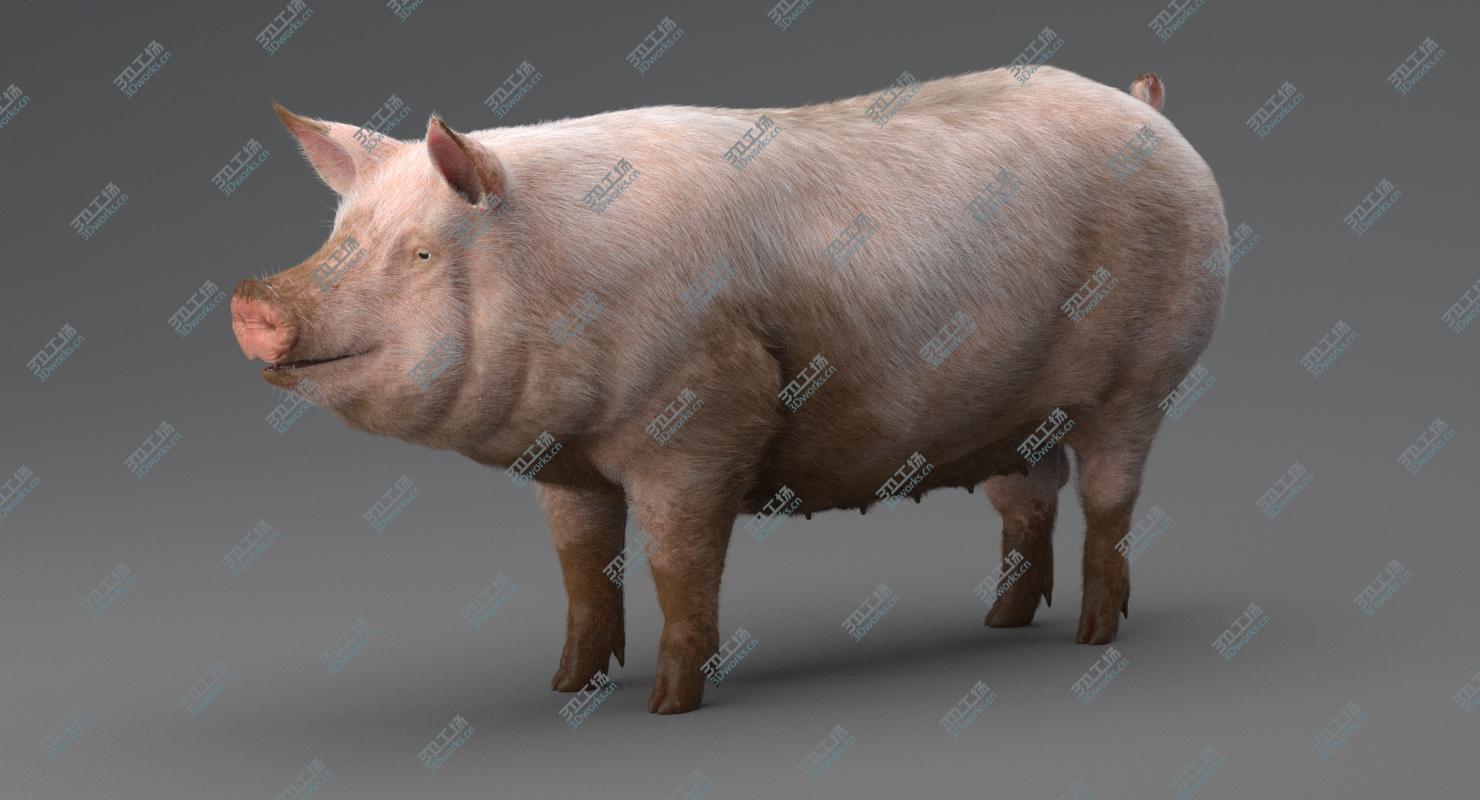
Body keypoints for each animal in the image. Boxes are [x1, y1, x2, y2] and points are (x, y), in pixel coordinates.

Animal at [232, 65, 1226, 714]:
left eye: (421, 254)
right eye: (340, 234)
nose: (252, 302)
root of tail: (1148, 110)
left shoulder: (704, 419)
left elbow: (679, 565)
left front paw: (669, 706)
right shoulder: (569, 464)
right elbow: (582, 569)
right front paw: (565, 686)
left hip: (1142, 380)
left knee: (1110, 499)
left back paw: (1092, 636)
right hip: (1016, 418)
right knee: (1031, 500)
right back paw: (1000, 622)